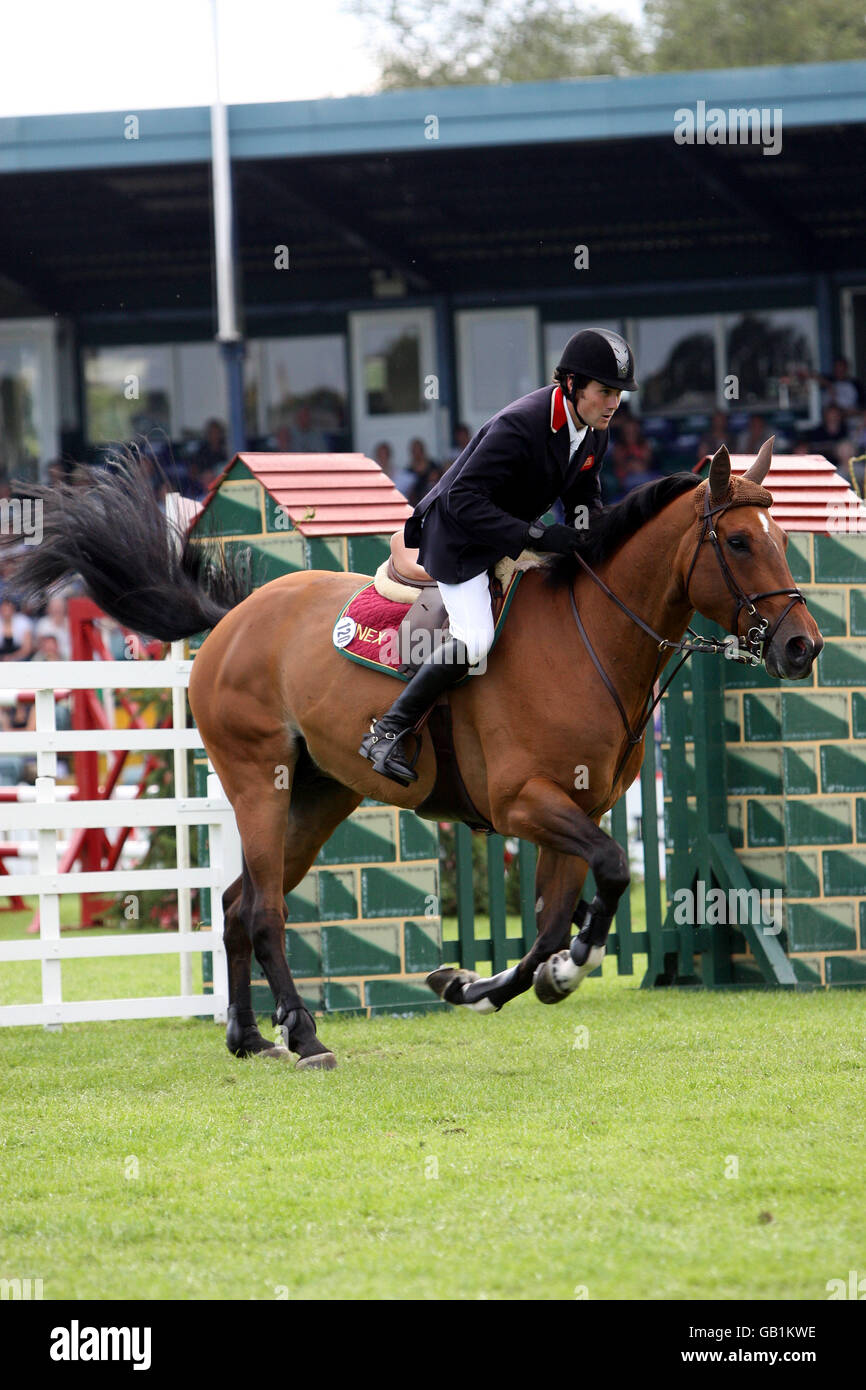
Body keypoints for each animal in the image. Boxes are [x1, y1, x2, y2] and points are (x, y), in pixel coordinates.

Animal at [8, 438, 822, 1069]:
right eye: (740, 542)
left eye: (783, 539)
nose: (802, 647)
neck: (590, 636)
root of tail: (233, 618)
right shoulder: (525, 804)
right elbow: (615, 872)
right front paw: (558, 970)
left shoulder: (575, 810)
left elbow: (552, 927)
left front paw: (495, 983)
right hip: (259, 782)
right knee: (265, 910)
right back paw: (304, 1037)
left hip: (320, 797)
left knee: (239, 905)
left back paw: (248, 1037)